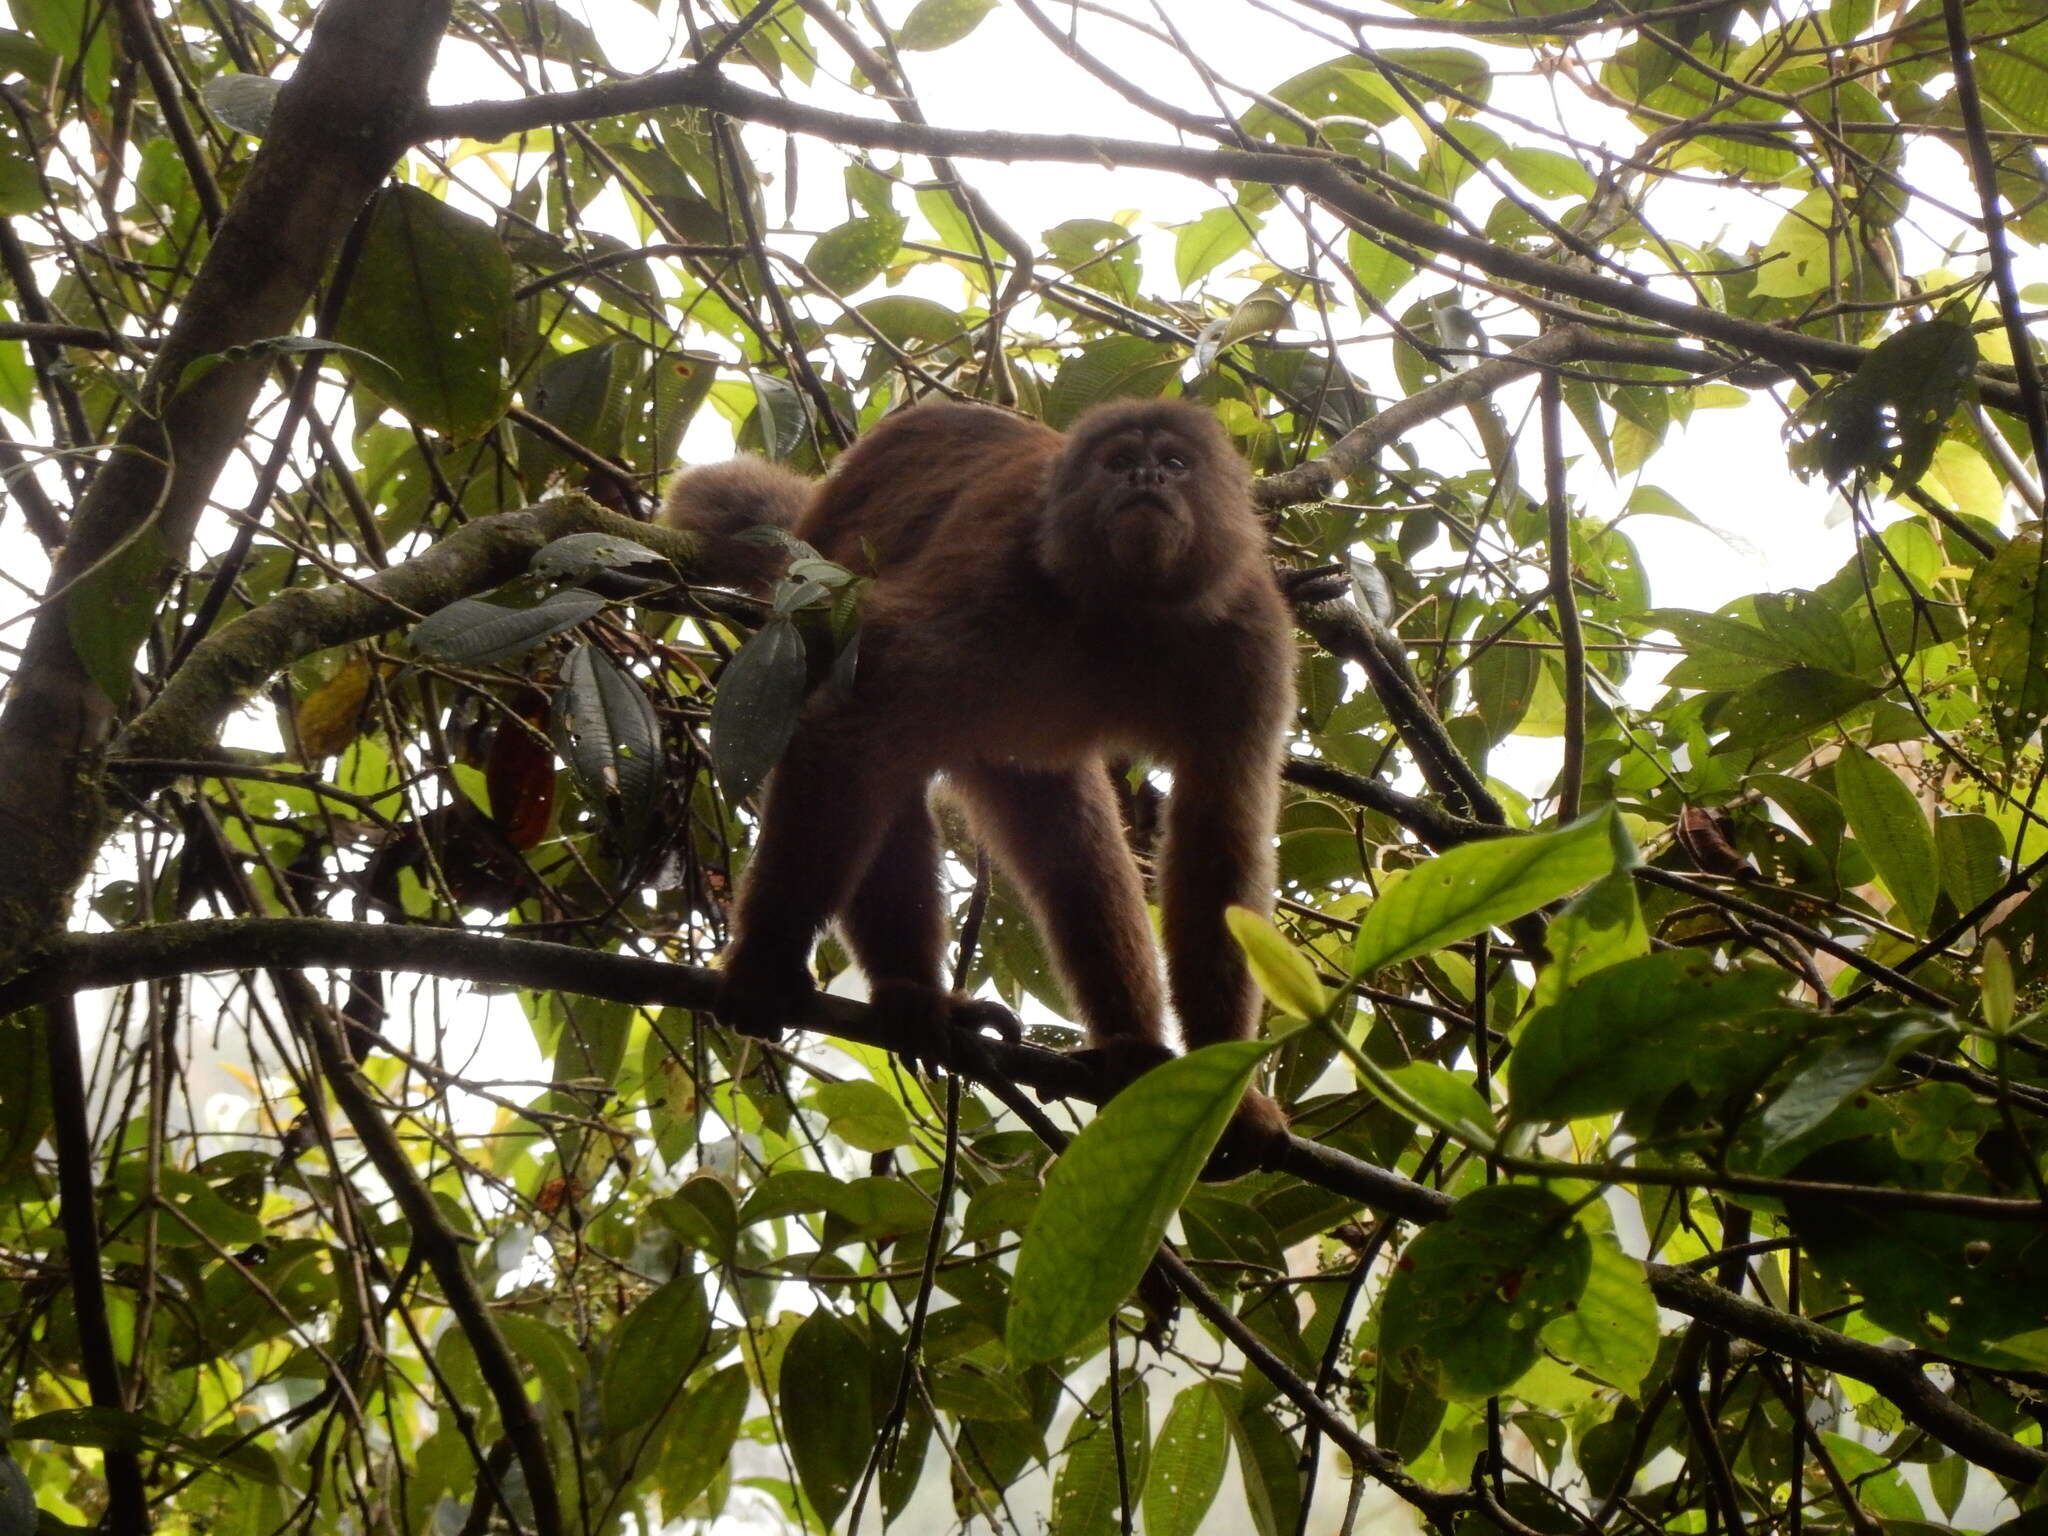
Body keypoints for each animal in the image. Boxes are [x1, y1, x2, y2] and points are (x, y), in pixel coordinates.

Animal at [659, 397, 1294, 1163]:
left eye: (1174, 462)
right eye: (1118, 462)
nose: (1145, 476)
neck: (1124, 612)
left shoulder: (1250, 634)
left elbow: (1219, 831)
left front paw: (1227, 1087)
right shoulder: (997, 574)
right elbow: (859, 714)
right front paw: (765, 962)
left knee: (1067, 844)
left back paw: (1127, 1051)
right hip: (811, 599)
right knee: (879, 751)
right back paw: (912, 996)